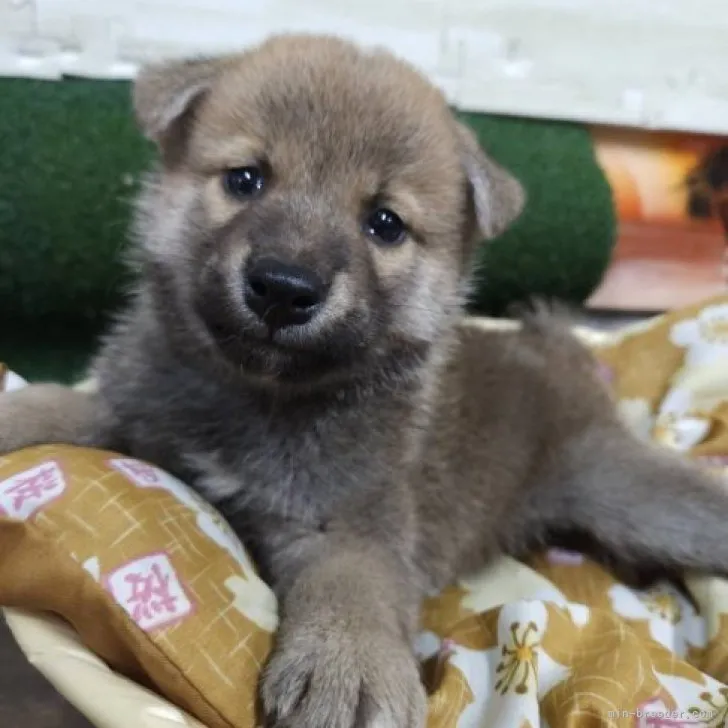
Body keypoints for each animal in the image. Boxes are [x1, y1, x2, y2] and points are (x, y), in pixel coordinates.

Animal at [1, 32, 728, 728]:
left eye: (384, 223)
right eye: (245, 179)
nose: (284, 287)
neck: (258, 395)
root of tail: (558, 358)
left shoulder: (351, 523)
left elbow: (352, 592)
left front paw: (346, 668)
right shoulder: (133, 417)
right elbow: (59, 403)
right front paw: (17, 414)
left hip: (629, 495)